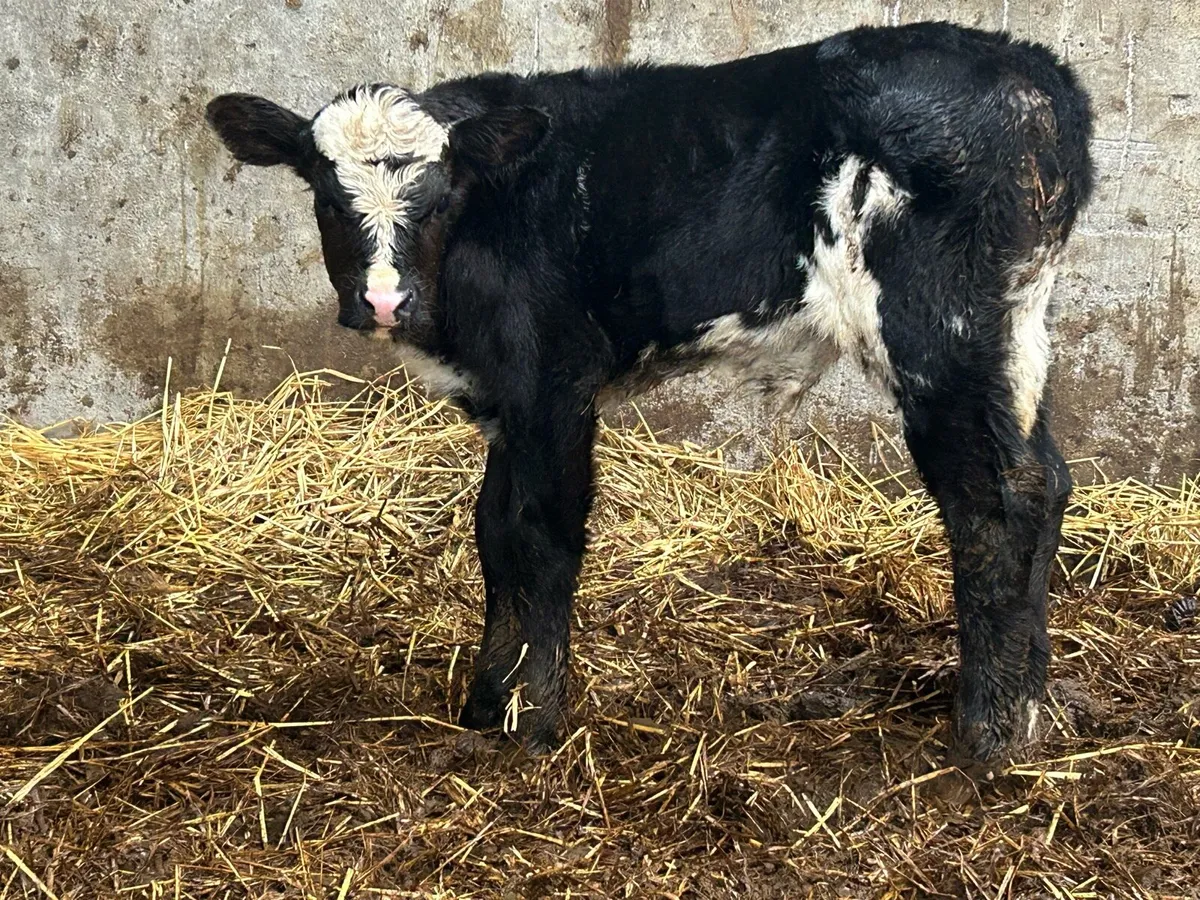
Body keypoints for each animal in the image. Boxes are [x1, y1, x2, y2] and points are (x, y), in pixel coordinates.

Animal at [206, 21, 1094, 770]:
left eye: (441, 195)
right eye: (326, 196)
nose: (386, 302)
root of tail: (1033, 70)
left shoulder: (556, 378)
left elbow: (544, 534)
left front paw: (537, 721)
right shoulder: (504, 397)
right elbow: (493, 531)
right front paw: (486, 704)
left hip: (940, 331)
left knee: (993, 498)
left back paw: (986, 732)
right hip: (1013, 330)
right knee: (1045, 479)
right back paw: (1029, 711)